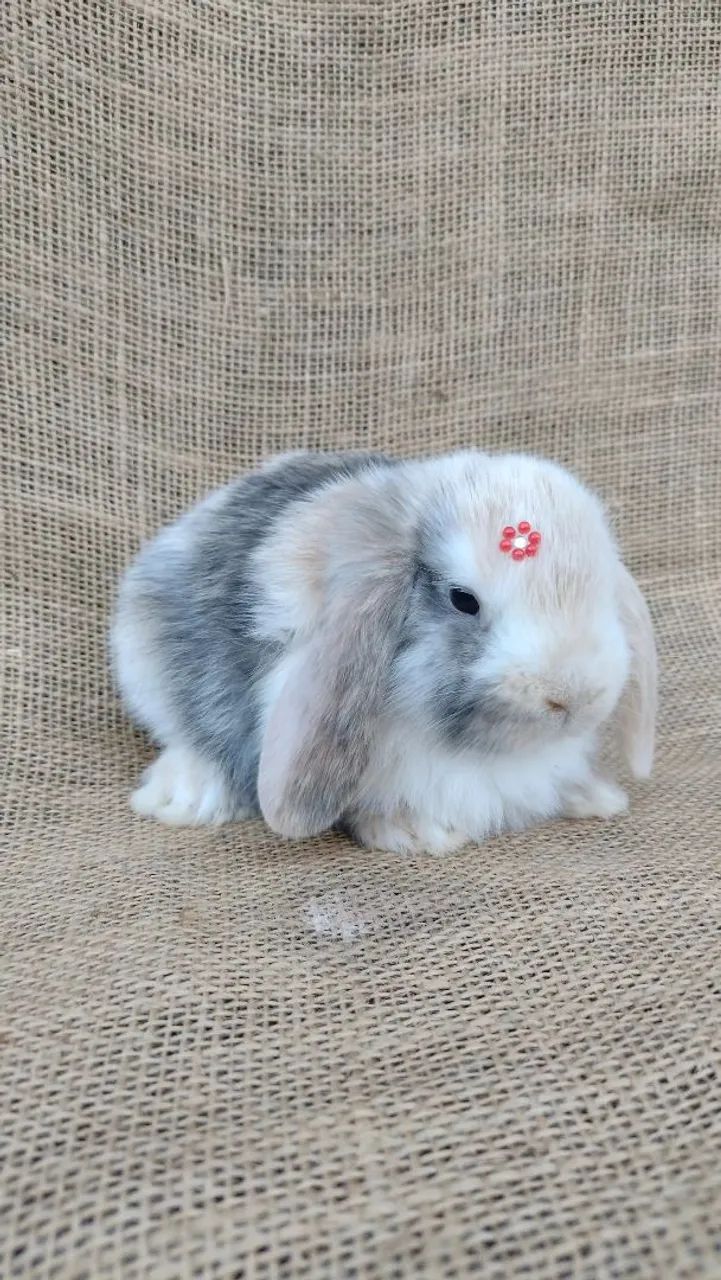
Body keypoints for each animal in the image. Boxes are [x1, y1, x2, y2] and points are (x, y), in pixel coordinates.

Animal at [111, 449, 657, 855]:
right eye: (463, 599)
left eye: (603, 588)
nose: (574, 696)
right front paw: (421, 834)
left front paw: (596, 797)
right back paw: (183, 797)